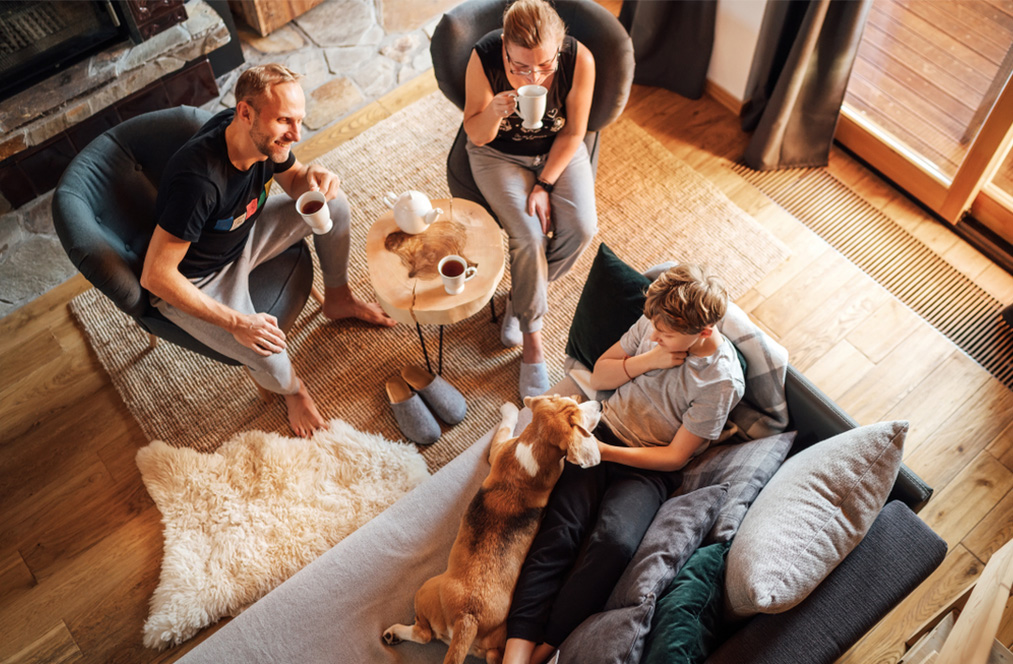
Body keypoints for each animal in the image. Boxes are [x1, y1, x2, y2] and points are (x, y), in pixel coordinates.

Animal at [380, 395, 599, 664]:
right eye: (574, 406)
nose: (600, 405)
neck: (536, 444)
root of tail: (468, 618)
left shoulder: (498, 449)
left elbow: (505, 425)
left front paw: (510, 409)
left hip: (425, 591)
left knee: (423, 634)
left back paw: (394, 633)